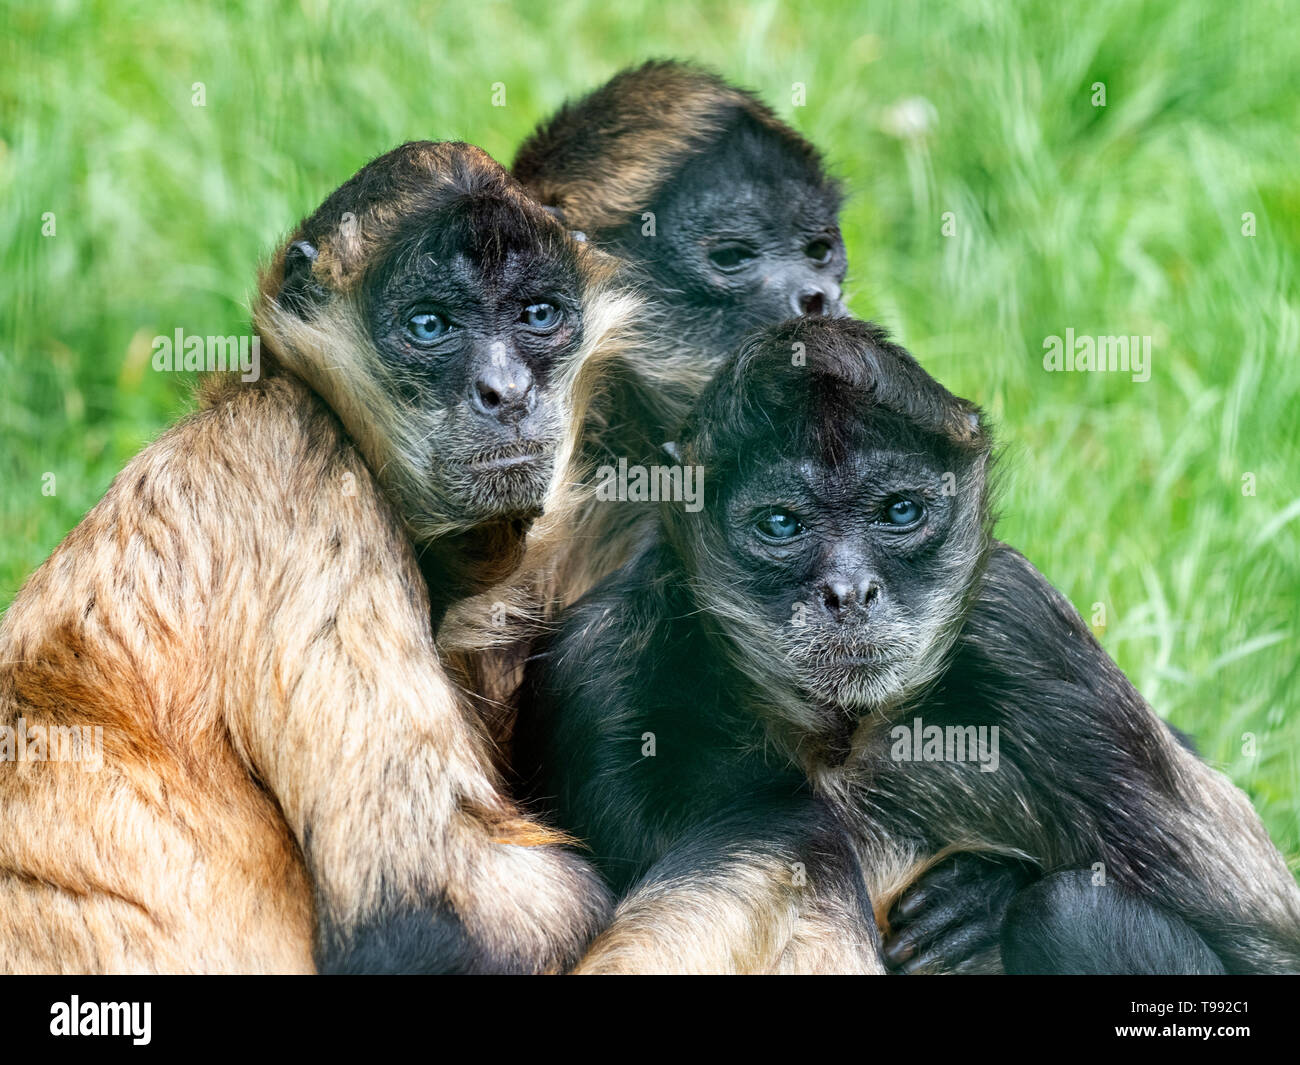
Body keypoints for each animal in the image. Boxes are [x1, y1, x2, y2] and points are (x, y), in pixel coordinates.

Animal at [514, 315, 1300, 975]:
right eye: (780, 524)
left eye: (899, 512)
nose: (849, 591)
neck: (834, 741)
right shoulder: (599, 664)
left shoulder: (1023, 627)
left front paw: (982, 900)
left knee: (1070, 911)